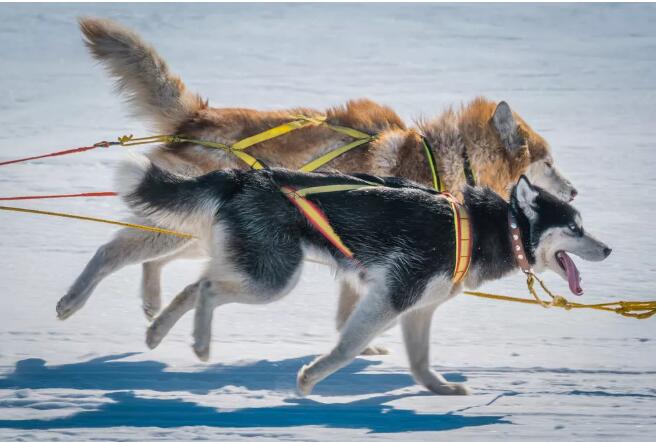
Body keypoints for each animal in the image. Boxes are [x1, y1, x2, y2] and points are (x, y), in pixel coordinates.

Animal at [59, 19, 576, 352]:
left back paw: (153, 307)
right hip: (193, 231)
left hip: (207, 236)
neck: (445, 156)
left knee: (157, 262)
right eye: (549, 163)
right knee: (112, 250)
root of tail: (197, 118)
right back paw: (73, 300)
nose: (574, 193)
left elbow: (352, 310)